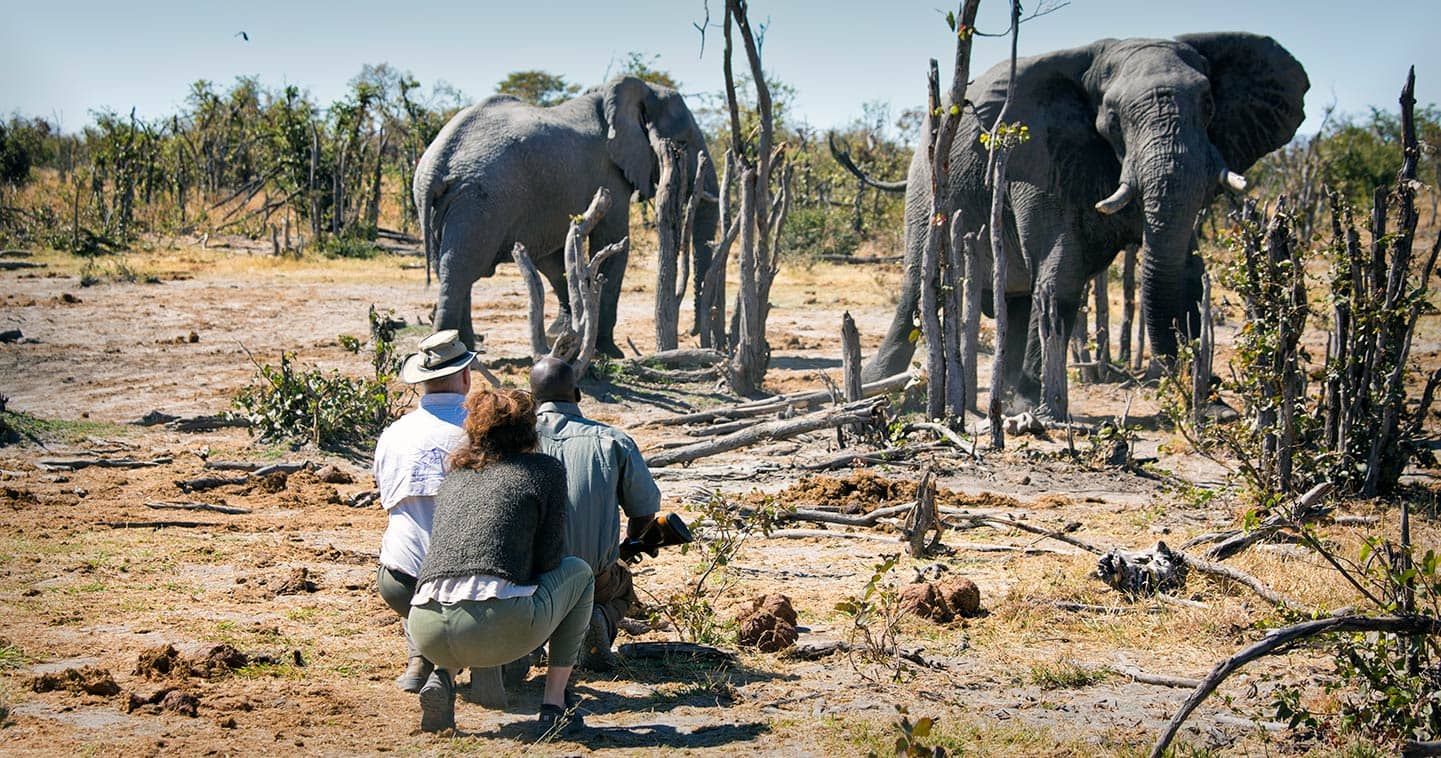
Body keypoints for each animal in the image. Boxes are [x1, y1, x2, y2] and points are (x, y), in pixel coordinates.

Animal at [412, 77, 720, 357]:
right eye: (681, 144)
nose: (693, 333)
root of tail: (436, 162)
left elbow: (555, 258)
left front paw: (563, 336)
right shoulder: (609, 175)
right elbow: (613, 244)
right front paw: (609, 352)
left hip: (452, 204)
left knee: (453, 269)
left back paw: (467, 348)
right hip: (479, 201)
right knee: (460, 268)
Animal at [858, 32, 1314, 417]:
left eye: (1209, 105)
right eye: (1111, 118)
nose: (1191, 383)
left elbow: (1187, 274)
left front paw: (1216, 410)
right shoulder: (1036, 153)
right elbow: (1061, 270)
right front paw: (1036, 410)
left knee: (1017, 301)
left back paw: (1003, 392)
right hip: (928, 182)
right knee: (919, 287)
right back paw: (875, 388)